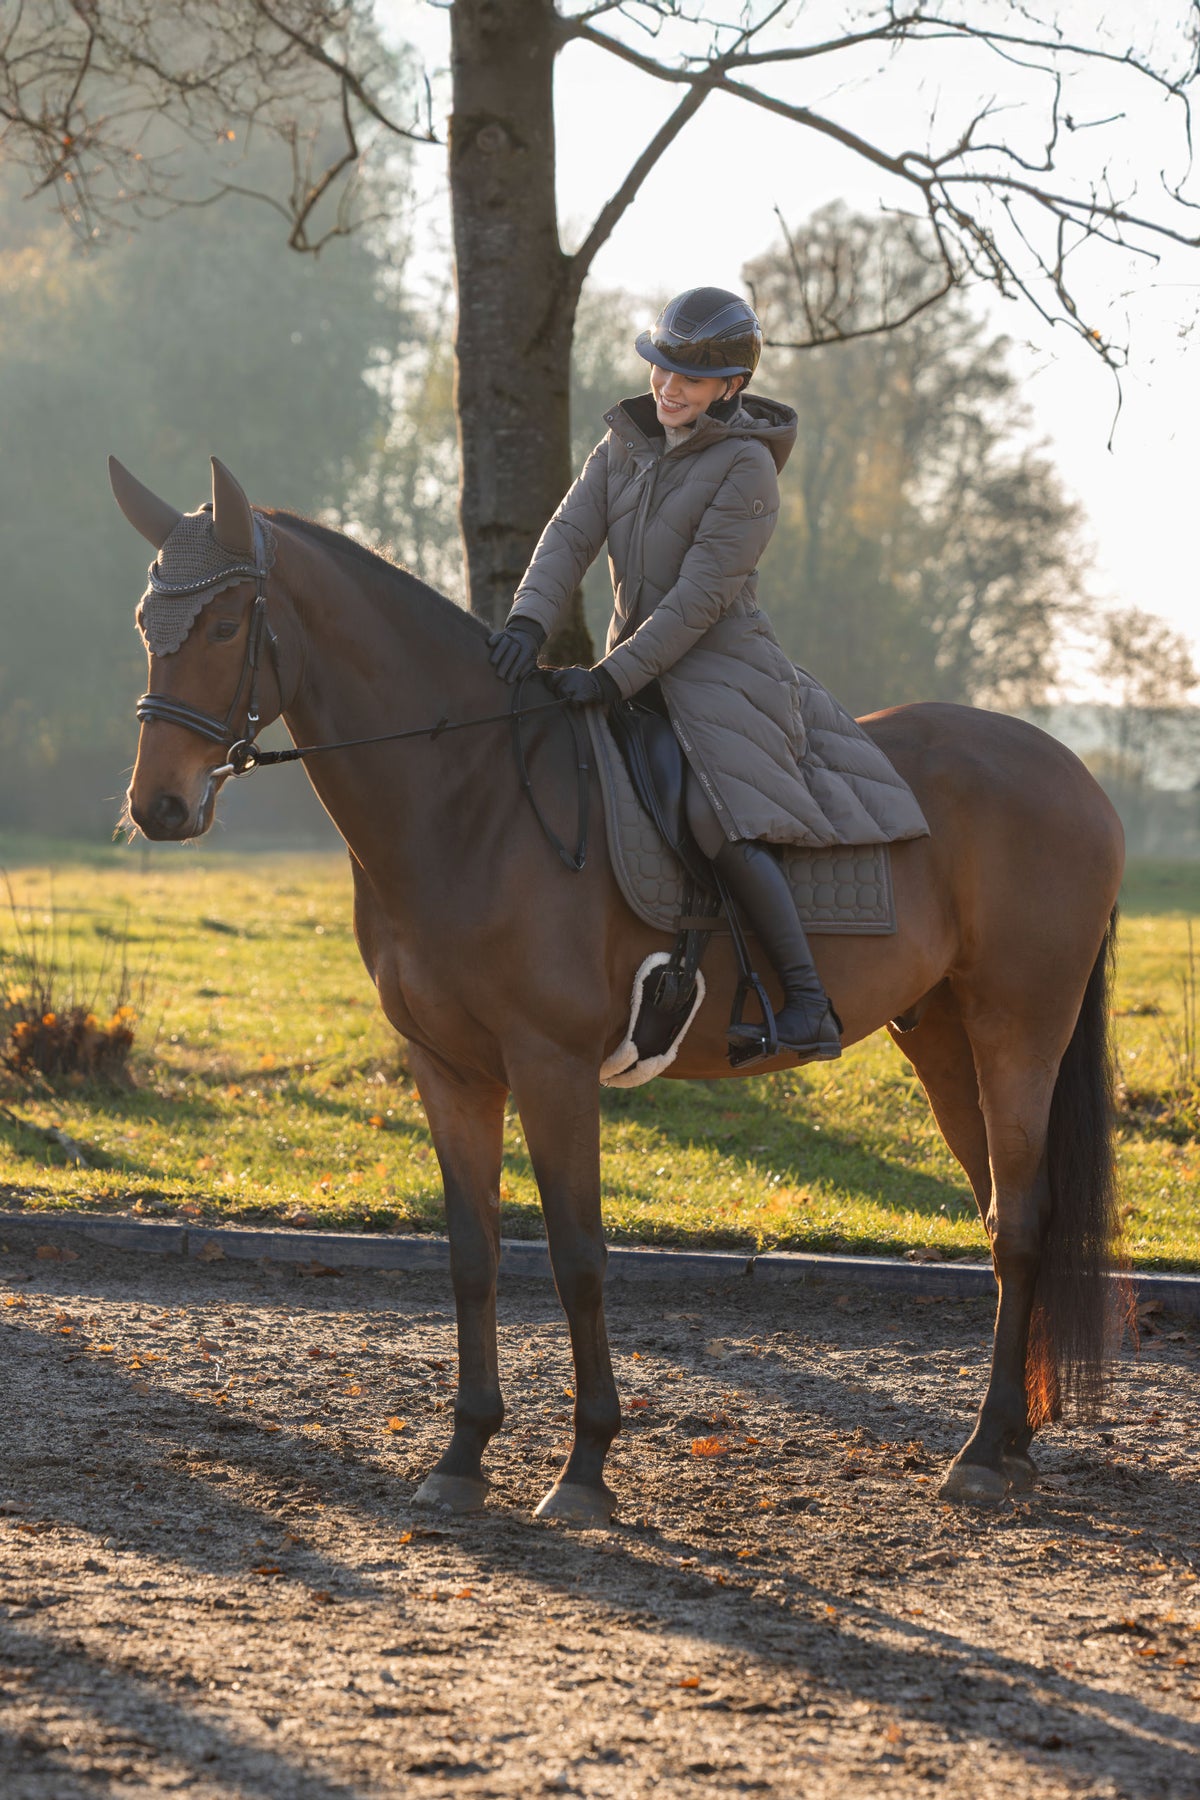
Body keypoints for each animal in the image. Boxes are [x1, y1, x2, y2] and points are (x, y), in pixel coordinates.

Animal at [112, 455, 1125, 1525]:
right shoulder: (449, 1070)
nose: (159, 806)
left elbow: (578, 1256)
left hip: (1021, 1027)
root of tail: (1071, 768)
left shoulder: (550, 1065)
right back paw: (1011, 1442)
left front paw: (585, 1465)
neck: (470, 797)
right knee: (1006, 1211)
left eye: (228, 625)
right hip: (942, 1037)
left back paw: (981, 1449)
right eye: (147, 622)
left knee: (1021, 1224)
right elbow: (473, 1256)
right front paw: (462, 1456)